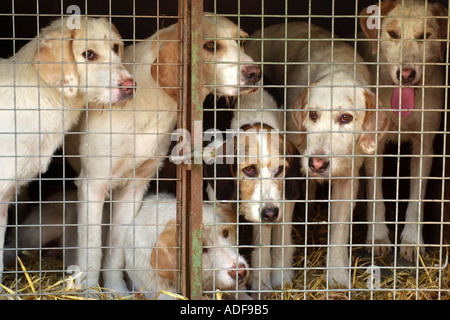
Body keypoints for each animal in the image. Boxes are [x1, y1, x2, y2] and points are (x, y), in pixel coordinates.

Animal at [205, 89, 302, 296]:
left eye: (280, 169)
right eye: (249, 170)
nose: (270, 213)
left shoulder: (282, 202)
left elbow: (267, 248)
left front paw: (265, 284)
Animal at [246, 22, 390, 288]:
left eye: (346, 118)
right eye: (312, 114)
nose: (317, 163)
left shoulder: (347, 179)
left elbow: (340, 232)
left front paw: (337, 278)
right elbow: (282, 232)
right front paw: (281, 275)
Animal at [360, 0, 448, 260]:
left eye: (425, 36)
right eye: (393, 34)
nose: (407, 74)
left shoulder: (424, 146)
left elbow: (416, 199)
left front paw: (412, 240)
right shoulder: (373, 145)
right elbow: (376, 195)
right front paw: (378, 237)